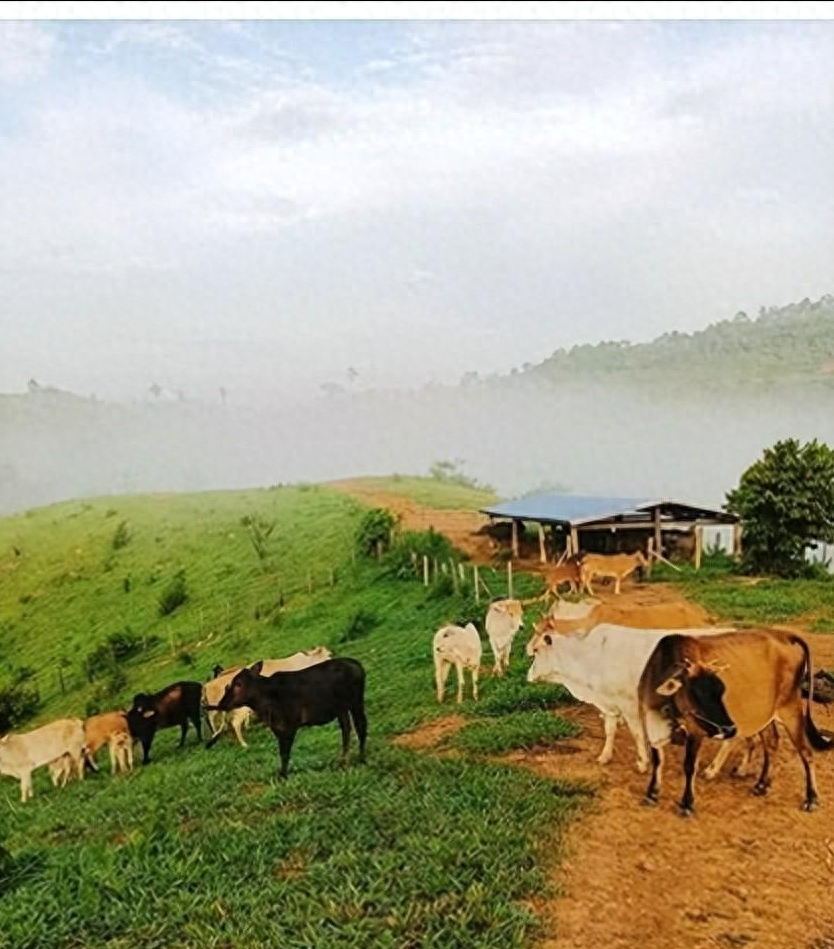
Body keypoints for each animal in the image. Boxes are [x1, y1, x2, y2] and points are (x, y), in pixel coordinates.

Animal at [211, 660, 364, 776]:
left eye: (238, 684)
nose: (222, 703)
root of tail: (356, 664)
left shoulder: (290, 726)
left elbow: (285, 753)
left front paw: (283, 775)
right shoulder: (277, 728)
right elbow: (281, 752)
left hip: (356, 702)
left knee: (360, 726)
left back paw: (361, 759)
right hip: (342, 709)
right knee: (346, 728)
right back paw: (344, 761)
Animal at [528, 624, 728, 772]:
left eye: (536, 649)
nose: (528, 675)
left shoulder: (629, 705)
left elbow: (637, 732)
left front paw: (643, 763)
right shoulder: (608, 704)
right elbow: (610, 730)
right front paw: (605, 756)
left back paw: (713, 769)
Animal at [640, 628, 828, 816]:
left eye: (722, 691)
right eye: (696, 694)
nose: (729, 729)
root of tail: (783, 634)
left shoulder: (696, 730)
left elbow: (689, 765)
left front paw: (687, 804)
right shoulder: (648, 721)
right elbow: (658, 759)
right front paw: (651, 794)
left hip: (790, 707)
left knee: (806, 751)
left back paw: (811, 799)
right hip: (764, 713)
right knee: (771, 743)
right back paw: (762, 784)